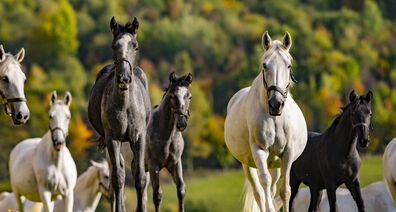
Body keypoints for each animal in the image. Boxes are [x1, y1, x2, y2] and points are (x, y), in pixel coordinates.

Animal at [87, 16, 151, 212]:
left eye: (135, 45)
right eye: (114, 45)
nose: (124, 78)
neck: (126, 106)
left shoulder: (138, 138)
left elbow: (139, 176)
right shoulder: (112, 138)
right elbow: (117, 177)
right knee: (120, 172)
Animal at [224, 31, 308, 212]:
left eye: (288, 66)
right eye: (264, 65)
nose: (276, 103)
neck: (275, 118)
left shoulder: (288, 153)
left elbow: (285, 190)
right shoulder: (259, 151)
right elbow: (264, 186)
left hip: (274, 164)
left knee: (273, 187)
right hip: (248, 165)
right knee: (259, 192)